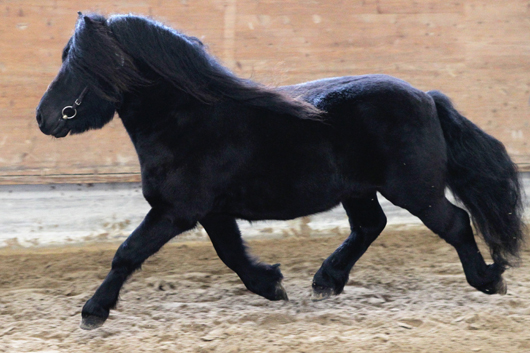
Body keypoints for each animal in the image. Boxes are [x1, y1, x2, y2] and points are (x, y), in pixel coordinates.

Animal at [36, 12, 524, 328]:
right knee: (370, 226)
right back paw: (327, 281)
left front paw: (93, 311)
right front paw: (271, 284)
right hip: (360, 190)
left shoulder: (176, 211)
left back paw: (488, 280)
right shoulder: (212, 213)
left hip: (415, 189)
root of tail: (426, 97)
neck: (187, 119)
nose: (44, 118)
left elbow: (128, 253)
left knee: (455, 223)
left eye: (80, 65)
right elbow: (231, 253)